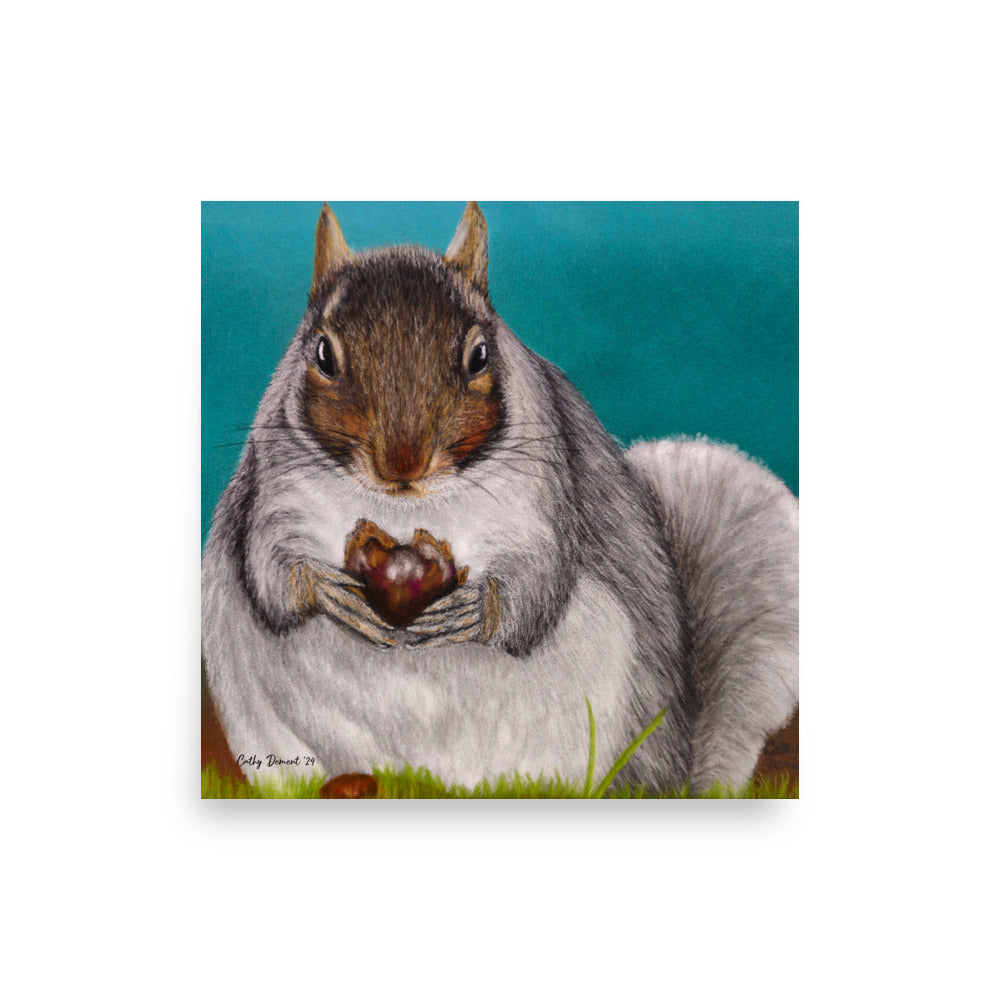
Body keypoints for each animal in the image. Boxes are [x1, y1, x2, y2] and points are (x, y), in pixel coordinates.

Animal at [201, 202, 798, 794]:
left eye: (479, 355)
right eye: (323, 354)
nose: (402, 465)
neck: (405, 509)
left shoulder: (544, 499)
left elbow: (539, 583)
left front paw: (472, 612)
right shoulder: (275, 492)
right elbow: (270, 572)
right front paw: (329, 591)